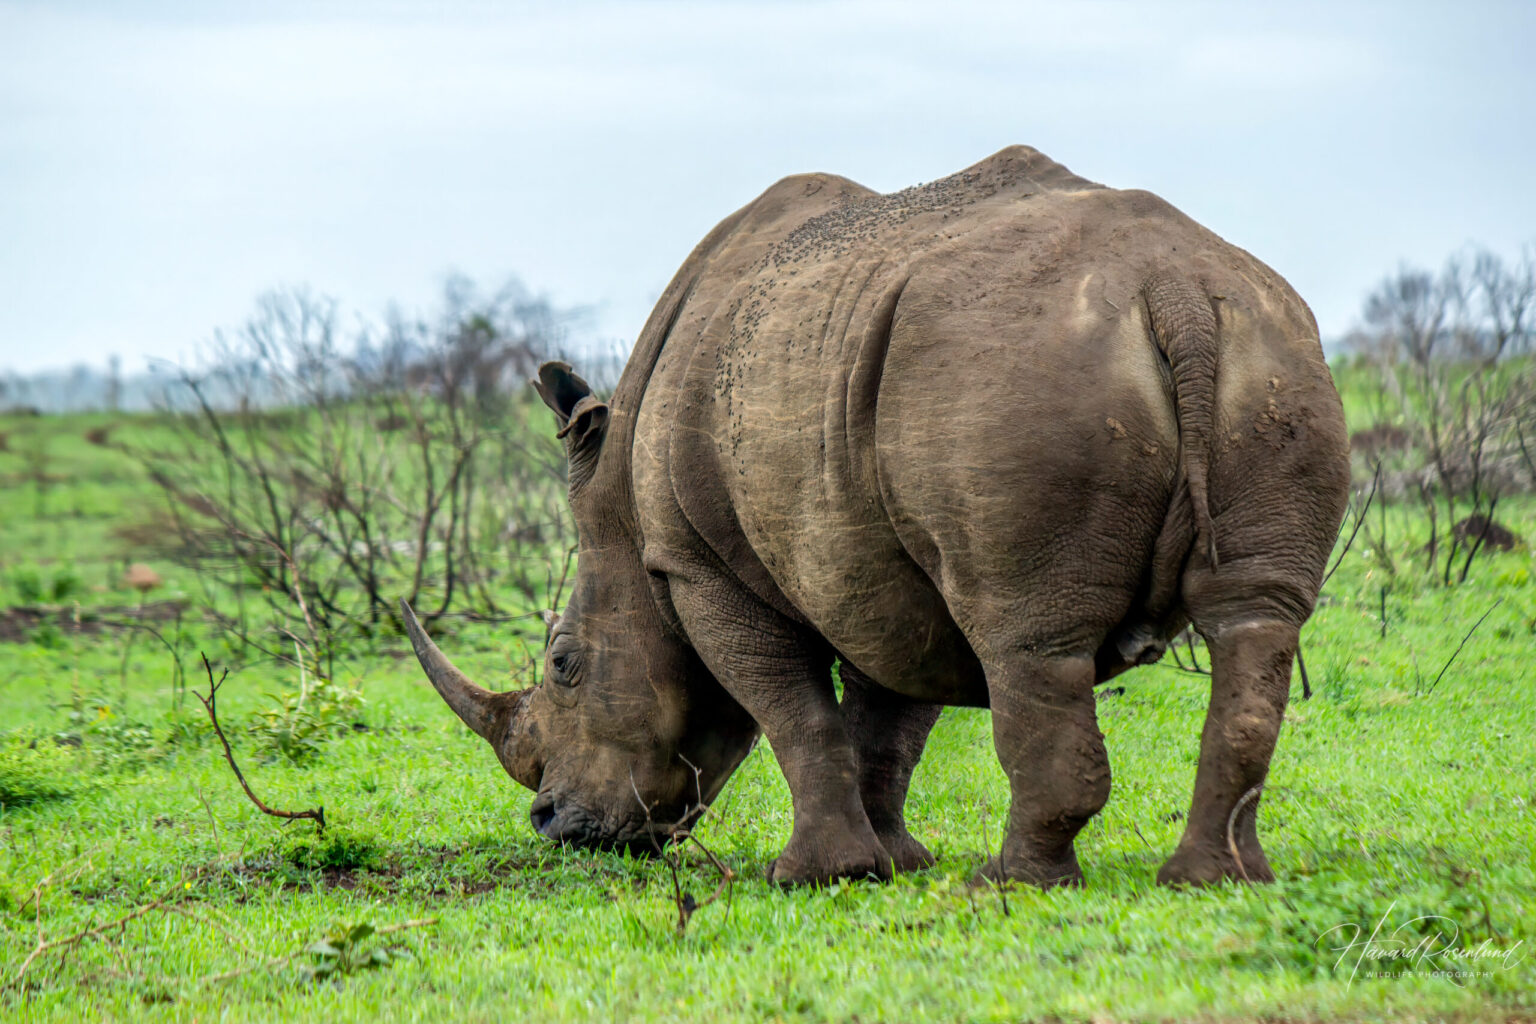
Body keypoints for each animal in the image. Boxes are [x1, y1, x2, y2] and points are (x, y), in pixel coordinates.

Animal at [401, 146, 1350, 888]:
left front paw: (816, 875)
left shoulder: (699, 563)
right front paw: (896, 863)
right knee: (1253, 617)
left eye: (565, 664)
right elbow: (886, 721)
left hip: (1009, 373)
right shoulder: (873, 561)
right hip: (1272, 348)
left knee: (1026, 636)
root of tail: (1173, 287)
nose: (552, 824)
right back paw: (1213, 879)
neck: (626, 530)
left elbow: (793, 710)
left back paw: (1010, 884)